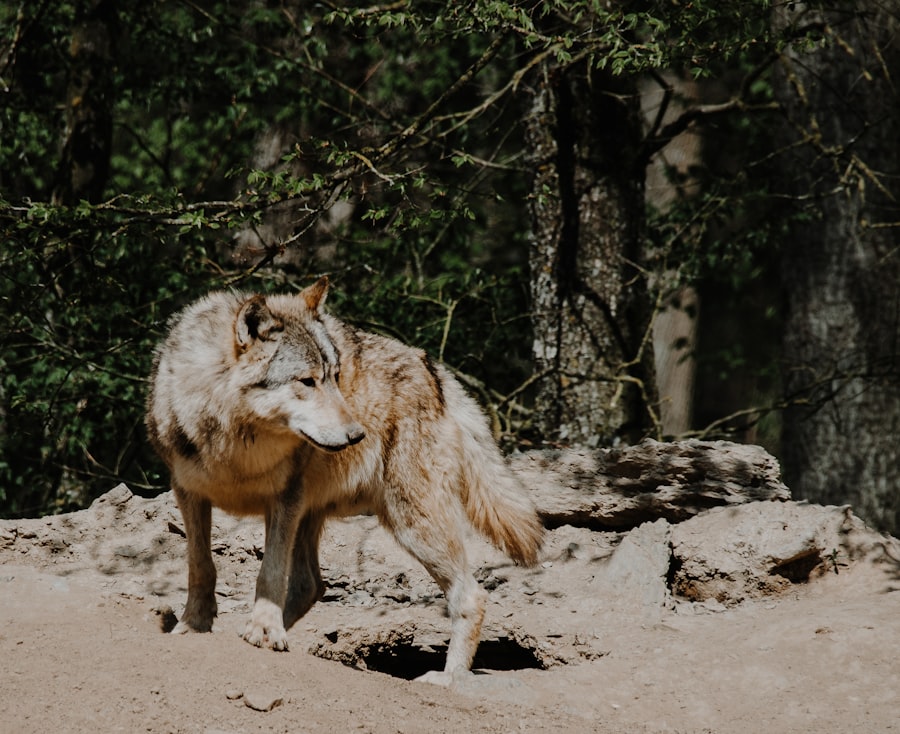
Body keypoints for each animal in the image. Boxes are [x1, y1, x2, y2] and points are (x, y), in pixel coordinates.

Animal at [146, 277, 543, 683]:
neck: (237, 449)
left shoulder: (283, 501)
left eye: (335, 377)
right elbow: (201, 566)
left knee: (470, 596)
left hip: (411, 524)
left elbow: (269, 573)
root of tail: (432, 367)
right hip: (319, 516)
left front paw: (264, 630)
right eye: (307, 381)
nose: (357, 435)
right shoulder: (189, 493)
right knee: (310, 584)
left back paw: (448, 678)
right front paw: (195, 625)